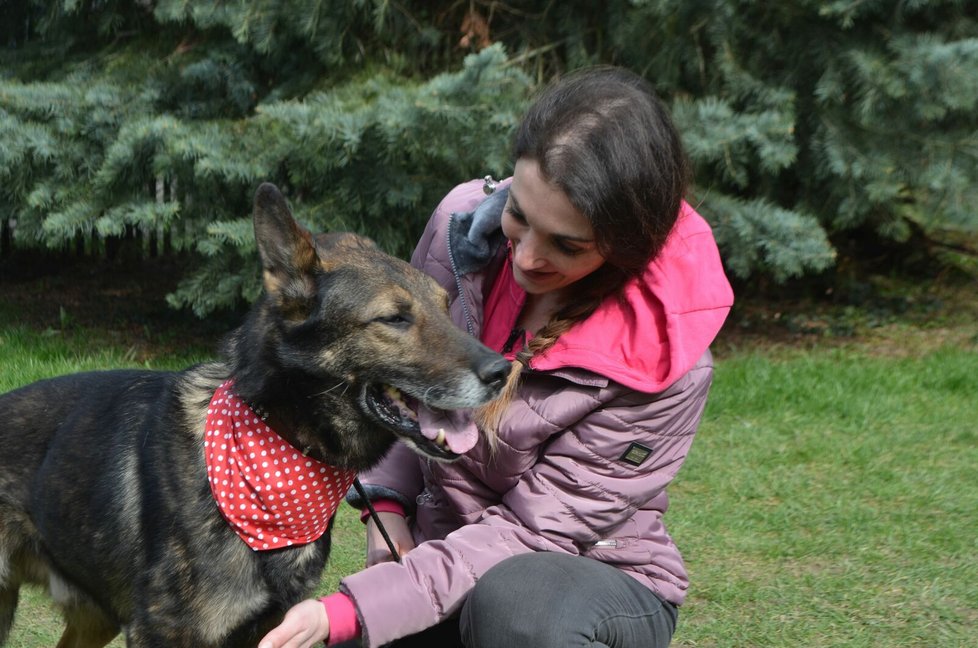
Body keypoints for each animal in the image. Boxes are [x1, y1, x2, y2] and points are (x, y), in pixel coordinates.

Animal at [1, 184, 510, 648]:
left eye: (445, 307)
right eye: (394, 318)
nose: (503, 371)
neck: (277, 439)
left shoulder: (269, 626)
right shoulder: (161, 632)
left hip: (95, 618)